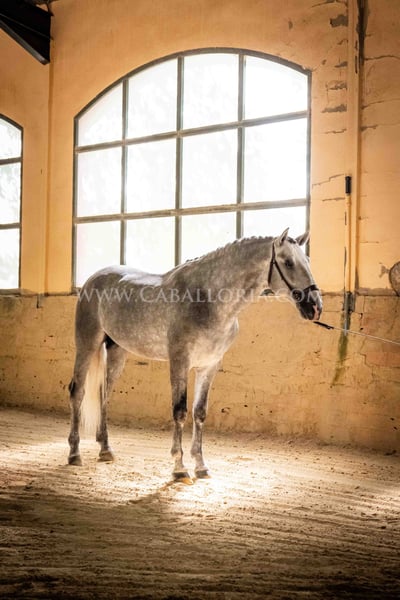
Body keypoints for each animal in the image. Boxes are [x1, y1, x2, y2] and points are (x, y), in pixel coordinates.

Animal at [67, 228, 322, 482]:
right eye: (288, 262)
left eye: (308, 261)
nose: (315, 306)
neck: (207, 298)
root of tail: (92, 279)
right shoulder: (180, 361)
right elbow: (179, 411)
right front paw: (179, 468)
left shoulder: (209, 365)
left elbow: (199, 413)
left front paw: (201, 466)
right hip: (87, 345)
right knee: (77, 391)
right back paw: (74, 453)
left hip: (118, 351)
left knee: (104, 394)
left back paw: (105, 450)